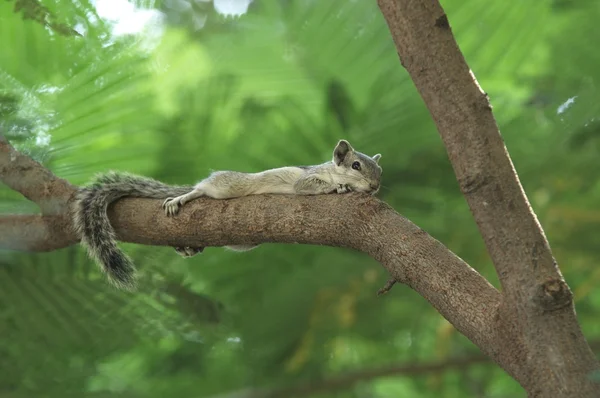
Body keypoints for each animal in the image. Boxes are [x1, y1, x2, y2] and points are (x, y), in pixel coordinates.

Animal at [72, 140, 382, 290]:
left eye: (379, 170)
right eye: (355, 165)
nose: (375, 186)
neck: (328, 168)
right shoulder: (305, 180)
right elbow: (309, 186)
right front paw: (338, 187)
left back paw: (190, 248)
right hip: (225, 186)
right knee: (201, 189)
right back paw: (183, 197)